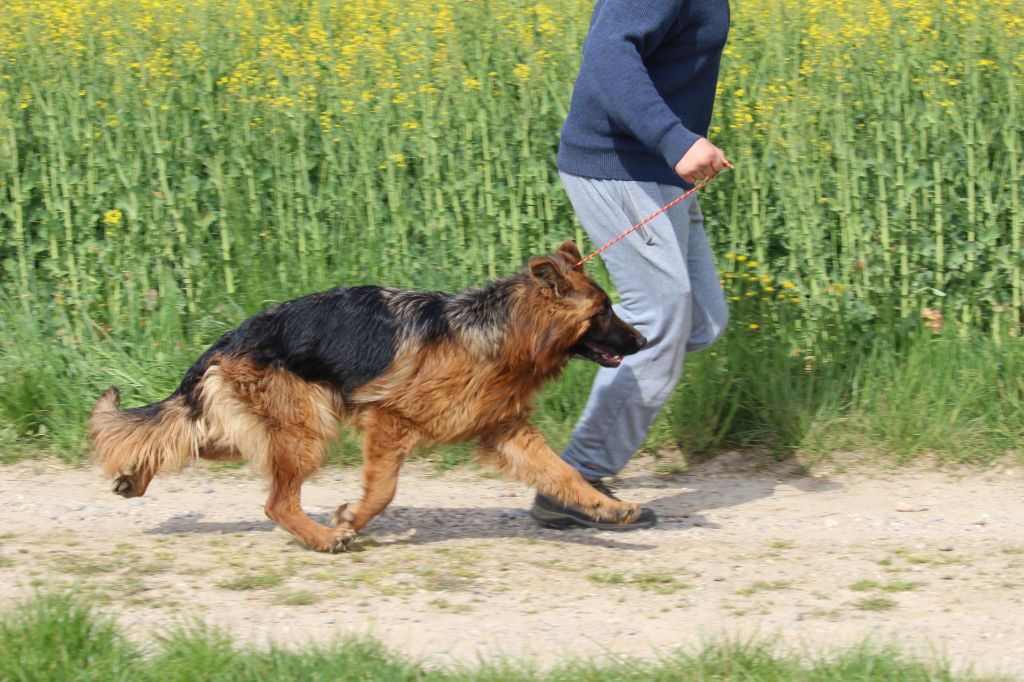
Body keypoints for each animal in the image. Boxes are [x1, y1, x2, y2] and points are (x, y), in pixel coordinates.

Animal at [90, 241, 647, 548]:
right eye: (602, 312)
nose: (644, 340)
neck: (503, 332)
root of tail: (230, 339)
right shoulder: (388, 420)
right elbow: (383, 491)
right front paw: (349, 519)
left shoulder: (504, 430)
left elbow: (564, 473)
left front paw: (605, 507)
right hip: (307, 428)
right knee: (274, 501)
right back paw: (322, 539)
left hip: (266, 427)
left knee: (188, 437)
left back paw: (133, 477)